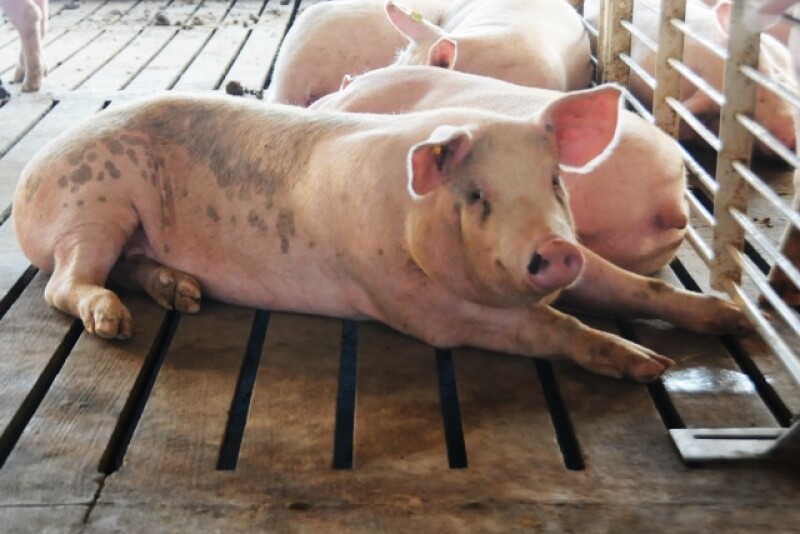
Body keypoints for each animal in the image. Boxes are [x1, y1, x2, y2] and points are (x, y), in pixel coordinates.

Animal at [13, 88, 751, 382]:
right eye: (476, 197)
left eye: (555, 183)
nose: (554, 250)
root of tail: (28, 181)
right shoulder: (428, 311)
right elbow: (553, 325)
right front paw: (650, 365)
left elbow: (632, 286)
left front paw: (735, 319)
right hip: (93, 203)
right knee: (66, 284)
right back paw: (115, 324)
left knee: (128, 269)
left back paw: (185, 294)